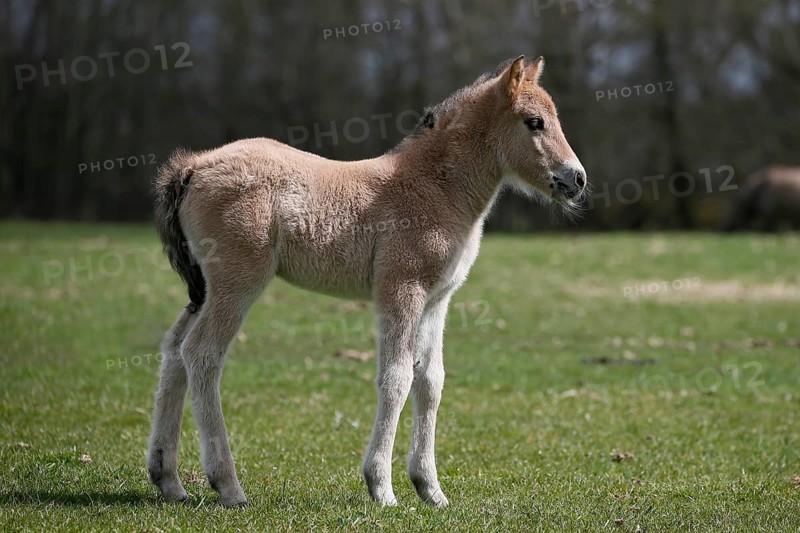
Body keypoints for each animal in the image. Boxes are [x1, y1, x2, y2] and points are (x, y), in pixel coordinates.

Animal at [147, 55, 587, 508]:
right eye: (534, 122)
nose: (576, 179)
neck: (436, 186)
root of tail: (193, 166)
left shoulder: (437, 300)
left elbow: (431, 380)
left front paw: (430, 489)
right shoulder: (401, 288)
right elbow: (396, 377)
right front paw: (382, 487)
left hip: (204, 288)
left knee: (174, 350)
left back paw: (169, 480)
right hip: (237, 282)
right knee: (201, 353)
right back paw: (229, 486)